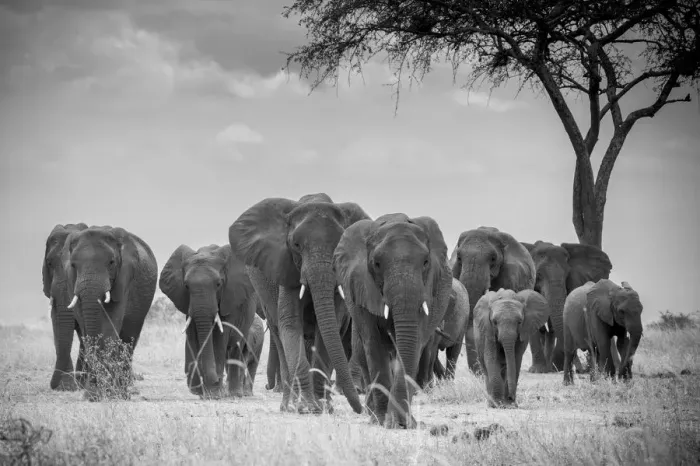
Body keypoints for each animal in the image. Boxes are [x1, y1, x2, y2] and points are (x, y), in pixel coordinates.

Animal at [63, 225, 157, 398]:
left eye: (111, 262)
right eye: (73, 265)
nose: (94, 391)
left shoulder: (125, 277)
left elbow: (111, 320)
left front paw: (107, 393)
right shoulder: (71, 281)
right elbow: (83, 321)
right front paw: (93, 394)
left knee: (129, 336)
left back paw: (124, 391)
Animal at [159, 243, 257, 398]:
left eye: (218, 284)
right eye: (186, 286)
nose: (215, 380)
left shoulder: (229, 299)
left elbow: (219, 336)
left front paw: (214, 394)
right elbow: (192, 335)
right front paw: (201, 392)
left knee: (236, 347)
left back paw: (234, 394)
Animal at [229, 193, 370, 414]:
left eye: (339, 245)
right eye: (296, 245)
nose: (360, 409)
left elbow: (328, 329)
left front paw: (323, 406)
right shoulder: (286, 268)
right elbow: (290, 323)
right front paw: (306, 408)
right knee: (279, 335)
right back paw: (288, 405)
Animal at [333, 213, 453, 428]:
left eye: (425, 262)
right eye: (377, 264)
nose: (401, 422)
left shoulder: (429, 290)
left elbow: (413, 343)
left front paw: (402, 422)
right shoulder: (361, 286)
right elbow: (373, 343)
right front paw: (383, 421)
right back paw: (373, 414)